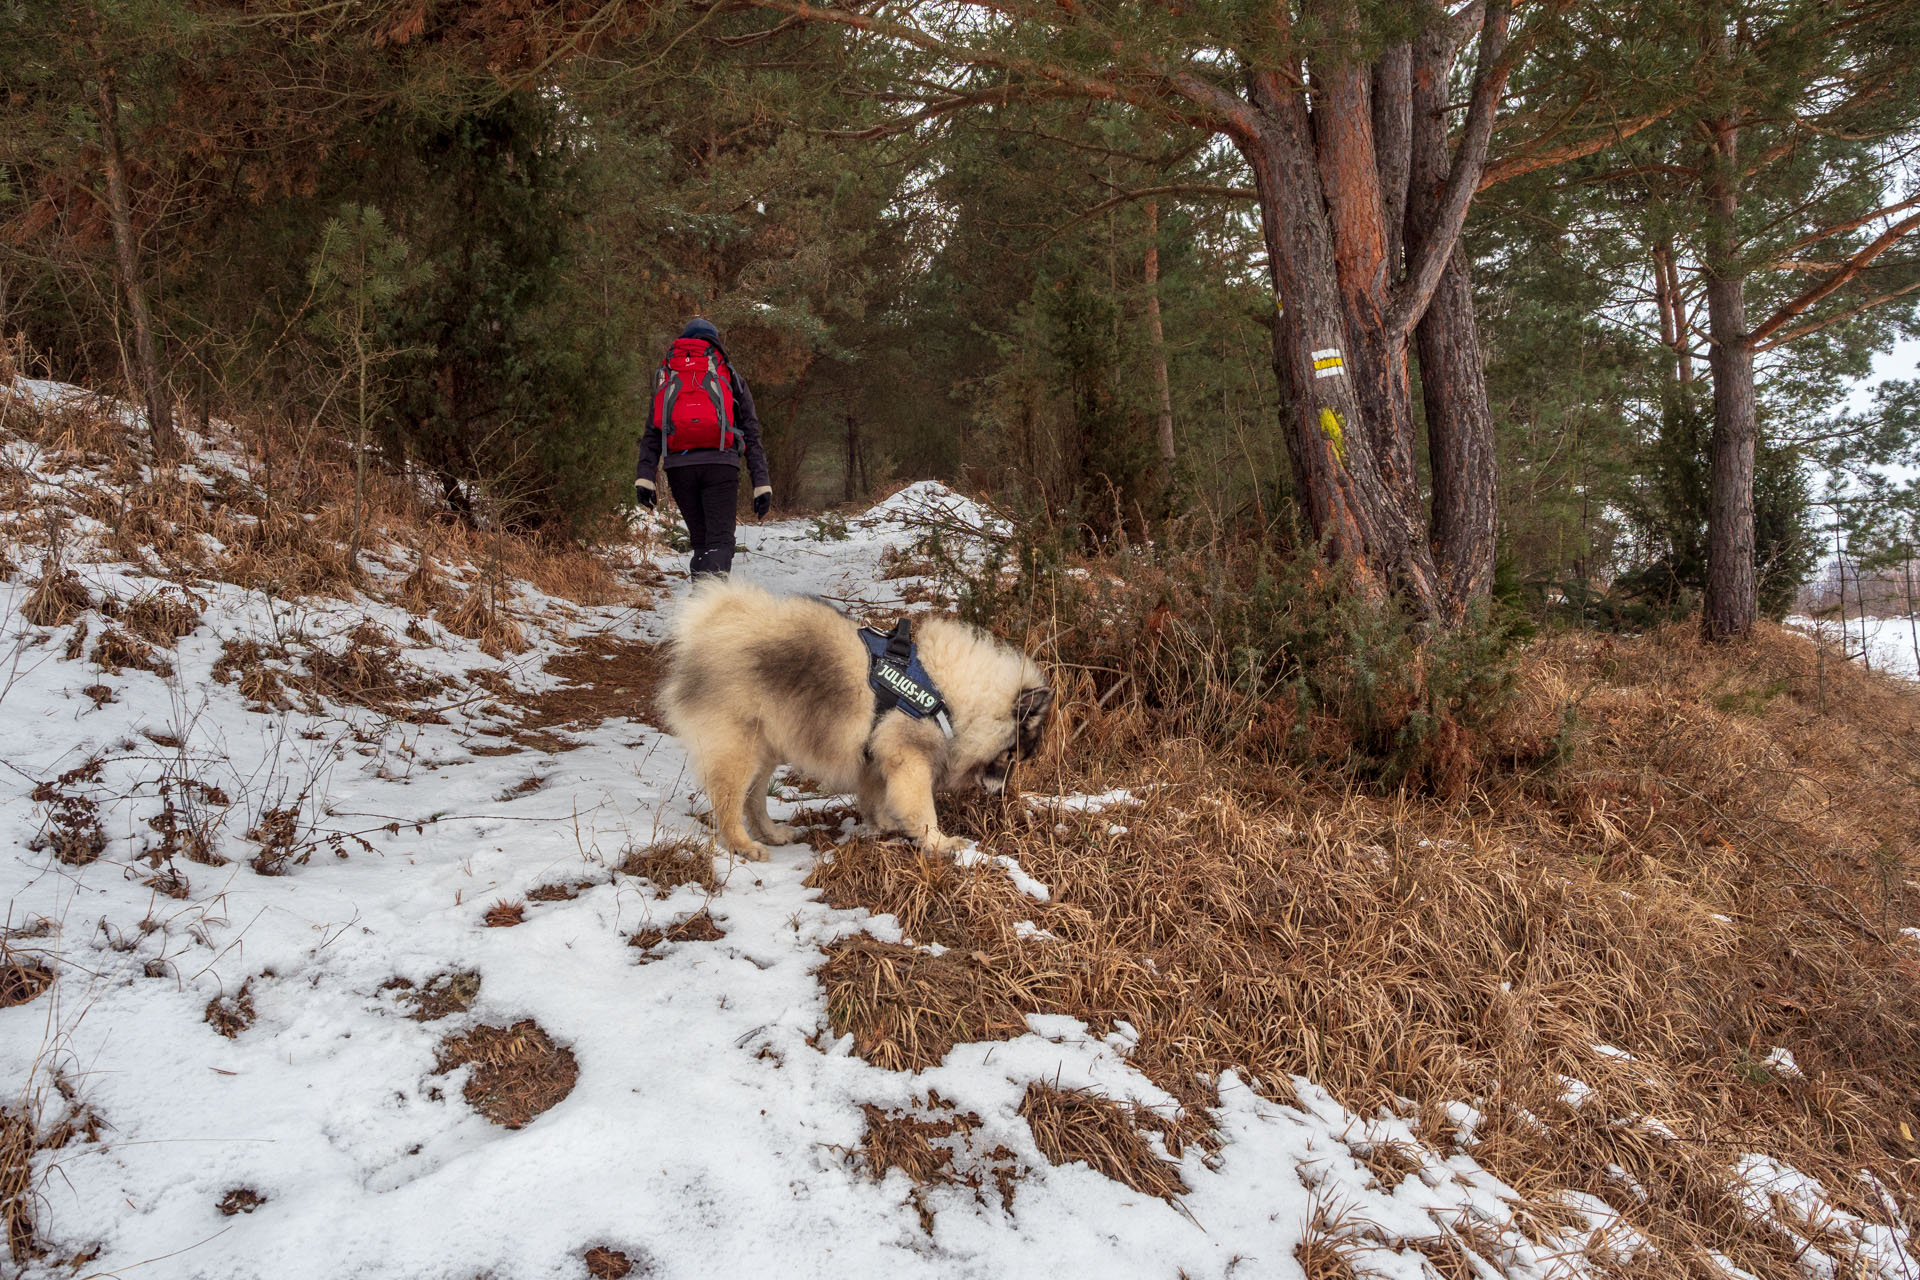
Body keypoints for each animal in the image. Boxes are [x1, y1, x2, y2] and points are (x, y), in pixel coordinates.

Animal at [660, 579, 1052, 859]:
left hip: (766, 748)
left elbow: (876, 798)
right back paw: (742, 845)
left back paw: (771, 834)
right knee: (728, 800)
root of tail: (710, 626)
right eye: (1010, 756)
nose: (1002, 793)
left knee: (753, 800)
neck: (946, 694)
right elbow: (923, 810)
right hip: (740, 748)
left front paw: (882, 826)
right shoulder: (909, 761)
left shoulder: (877, 759)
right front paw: (940, 844)